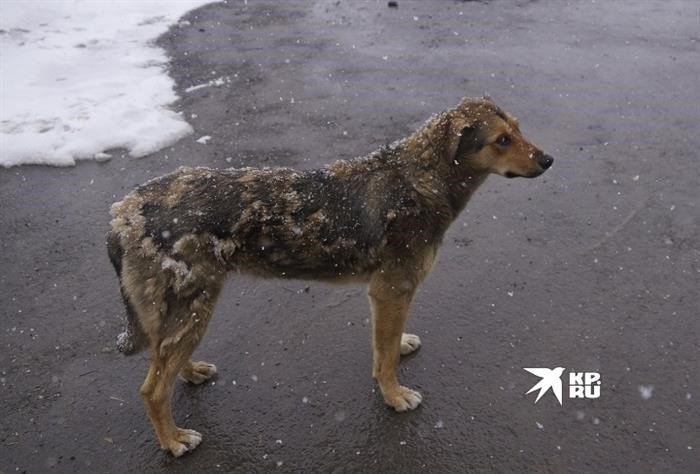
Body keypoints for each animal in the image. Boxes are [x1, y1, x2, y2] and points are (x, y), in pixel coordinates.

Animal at [105, 96, 552, 456]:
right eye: (502, 140)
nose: (549, 160)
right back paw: (173, 440)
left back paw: (192, 371)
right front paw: (394, 396)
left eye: (518, 128)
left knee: (164, 359)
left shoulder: (390, 295)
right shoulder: (392, 289)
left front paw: (400, 349)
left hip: (184, 311)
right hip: (193, 305)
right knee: (152, 389)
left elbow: (387, 345)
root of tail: (123, 213)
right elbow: (385, 358)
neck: (421, 180)